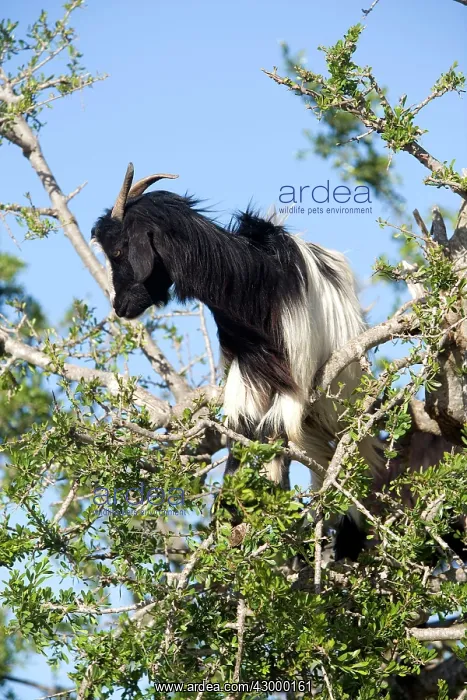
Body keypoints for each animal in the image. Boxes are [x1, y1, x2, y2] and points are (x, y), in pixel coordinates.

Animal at [91, 163, 383, 559]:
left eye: (120, 250)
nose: (120, 306)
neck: (252, 282)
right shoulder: (245, 366)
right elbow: (241, 432)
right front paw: (230, 511)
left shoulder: (293, 376)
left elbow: (270, 434)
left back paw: (346, 542)